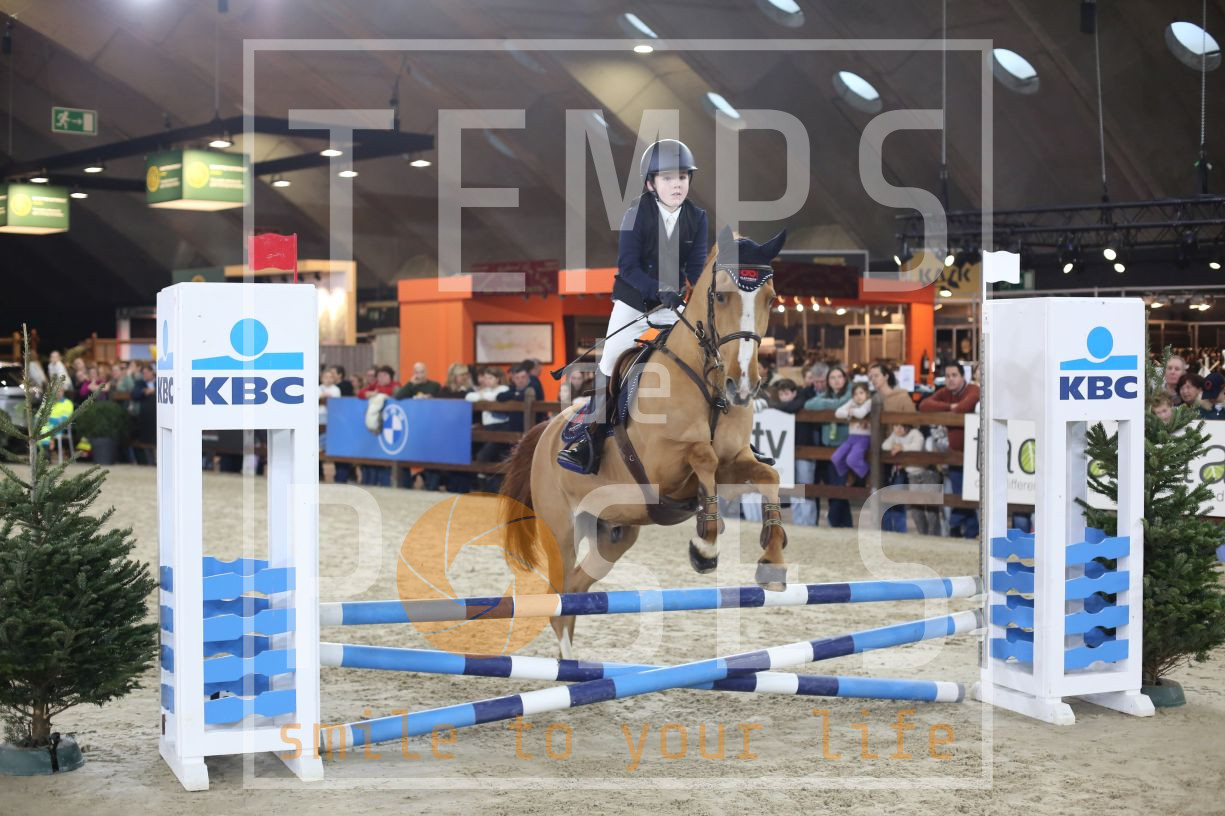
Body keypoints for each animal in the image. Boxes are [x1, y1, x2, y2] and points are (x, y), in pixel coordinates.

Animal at [498, 228, 789, 658]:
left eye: (771, 297)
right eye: (721, 296)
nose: (743, 385)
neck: (709, 387)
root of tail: (546, 430)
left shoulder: (734, 461)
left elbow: (768, 475)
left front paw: (772, 559)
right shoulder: (660, 467)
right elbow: (702, 456)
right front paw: (704, 547)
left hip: (612, 533)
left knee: (575, 589)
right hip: (561, 528)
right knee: (558, 597)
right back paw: (568, 666)